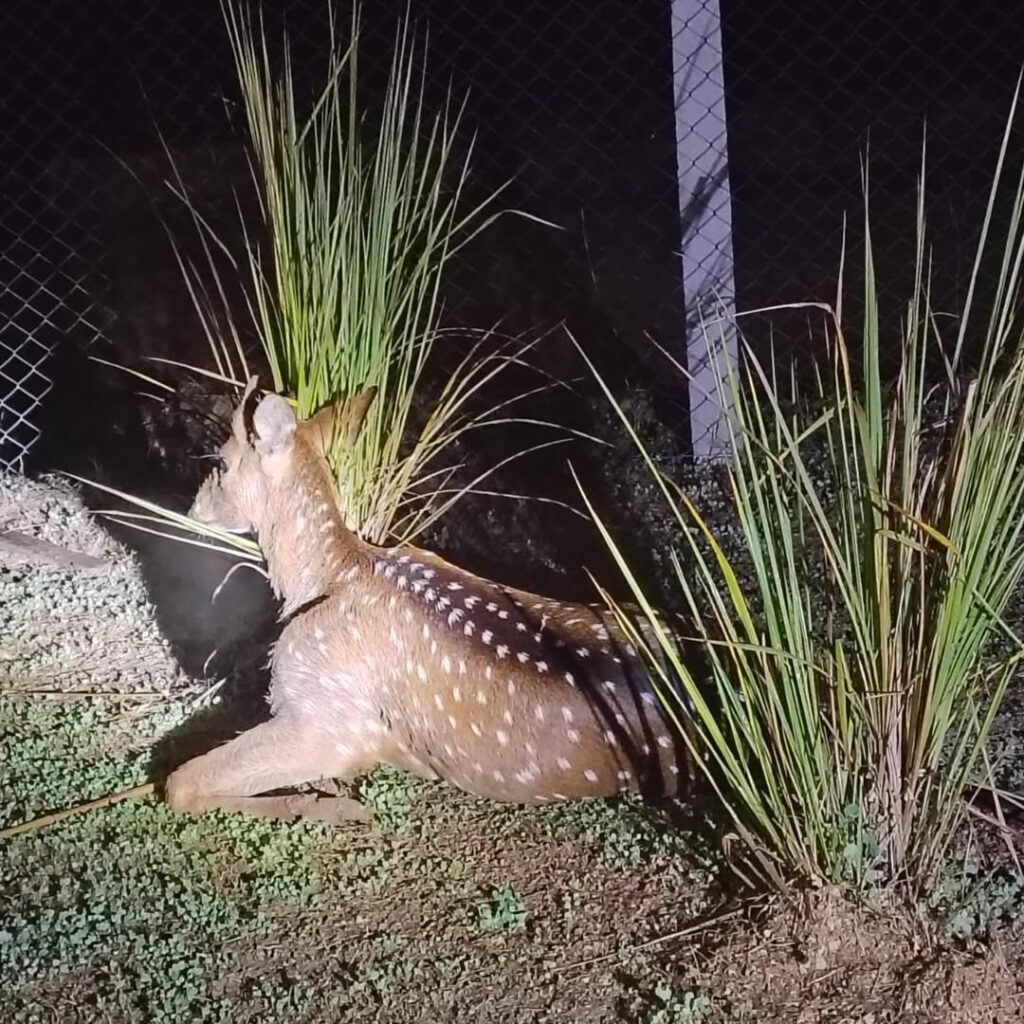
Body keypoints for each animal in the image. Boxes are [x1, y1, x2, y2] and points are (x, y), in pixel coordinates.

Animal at [163, 378, 692, 826]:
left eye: (221, 462)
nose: (192, 508)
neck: (330, 575)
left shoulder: (330, 717)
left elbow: (178, 783)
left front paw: (329, 807)